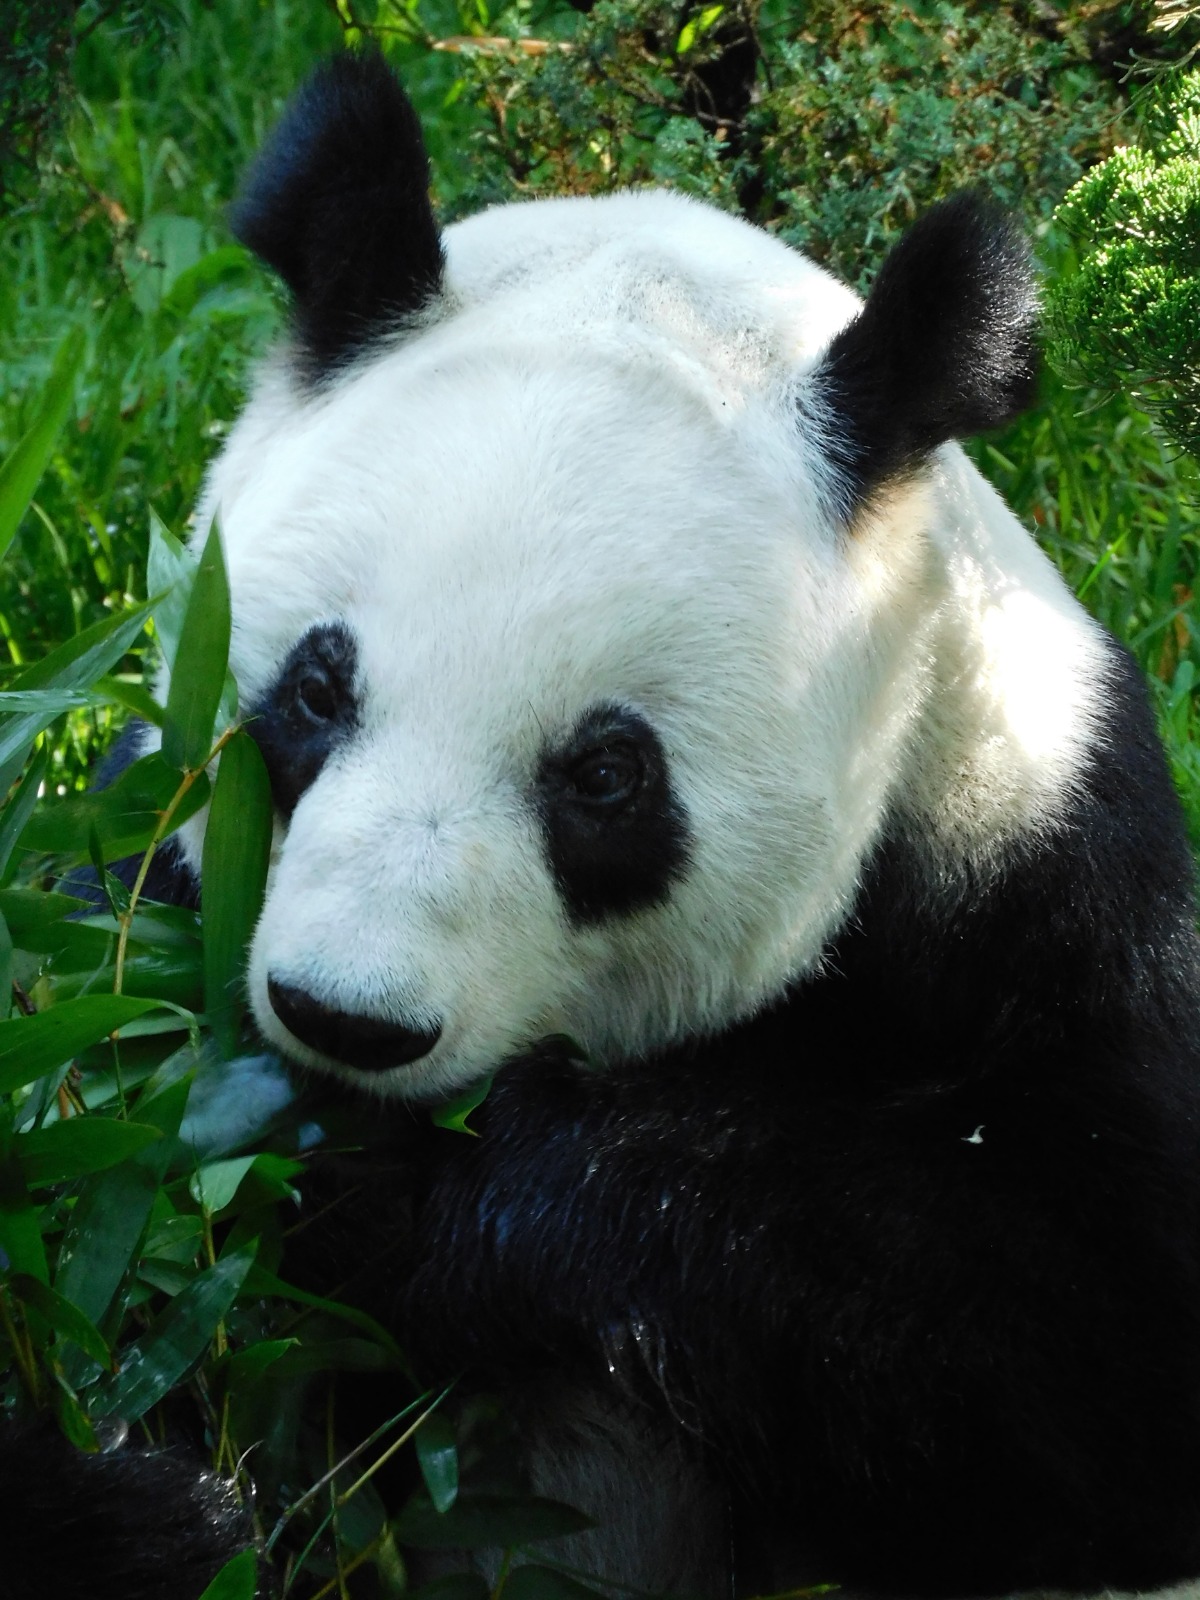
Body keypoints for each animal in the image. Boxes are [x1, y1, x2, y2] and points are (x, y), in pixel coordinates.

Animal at [14, 46, 1200, 1600]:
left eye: (605, 779)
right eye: (317, 690)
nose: (348, 1021)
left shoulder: (1044, 879)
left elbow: (1086, 1334)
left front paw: (388, 1177)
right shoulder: (132, 877)